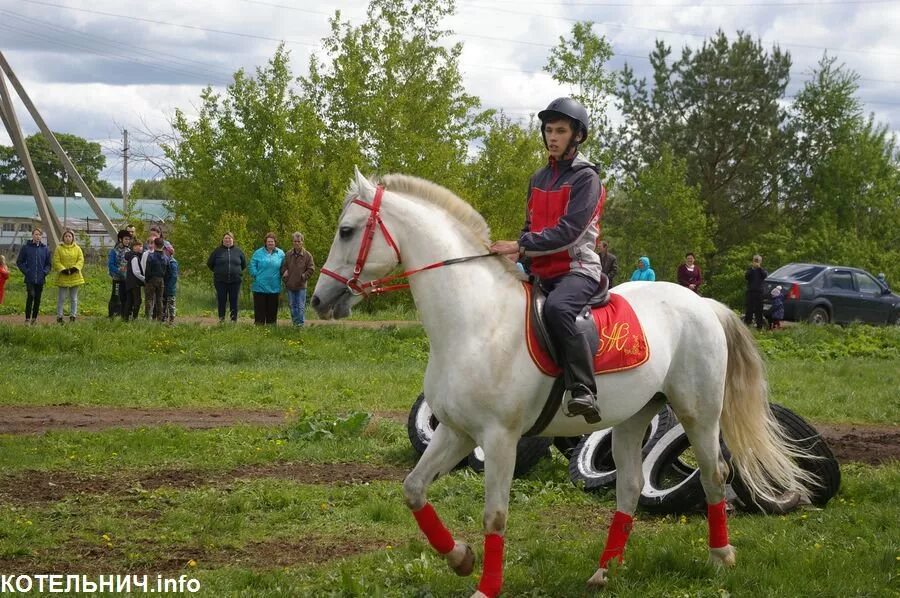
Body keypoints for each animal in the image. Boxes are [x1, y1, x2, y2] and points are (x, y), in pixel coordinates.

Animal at [312, 170, 820, 598]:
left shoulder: (499, 439)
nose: (319, 299)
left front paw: (486, 587)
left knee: (715, 475)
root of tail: (702, 303)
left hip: (699, 413)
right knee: (630, 486)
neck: (474, 322)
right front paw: (460, 558)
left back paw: (720, 558)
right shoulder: (456, 432)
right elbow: (413, 489)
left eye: (347, 230)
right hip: (634, 418)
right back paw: (603, 572)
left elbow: (495, 515)